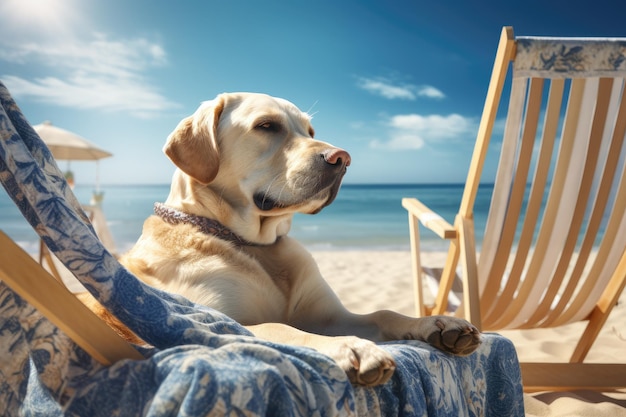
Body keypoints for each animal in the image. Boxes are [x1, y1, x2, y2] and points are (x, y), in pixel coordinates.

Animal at [85, 92, 480, 386]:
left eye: (310, 129)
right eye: (267, 126)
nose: (343, 158)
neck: (257, 247)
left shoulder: (329, 315)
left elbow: (384, 313)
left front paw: (437, 323)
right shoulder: (207, 324)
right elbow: (280, 326)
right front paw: (351, 348)